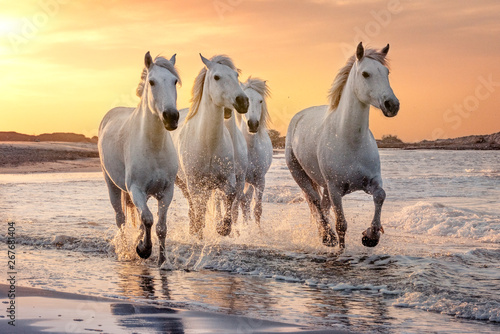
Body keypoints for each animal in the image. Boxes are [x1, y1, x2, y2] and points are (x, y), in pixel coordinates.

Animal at [98, 52, 181, 266]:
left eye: (174, 81)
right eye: (152, 82)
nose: (171, 117)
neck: (153, 147)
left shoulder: (166, 191)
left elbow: (160, 227)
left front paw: (162, 261)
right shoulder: (135, 189)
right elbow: (149, 219)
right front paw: (144, 250)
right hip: (112, 185)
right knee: (120, 219)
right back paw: (126, 251)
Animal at [173, 54, 249, 237]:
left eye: (236, 75)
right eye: (216, 77)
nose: (243, 101)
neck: (208, 144)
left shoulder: (228, 179)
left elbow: (230, 196)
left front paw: (223, 228)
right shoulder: (194, 183)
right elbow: (199, 209)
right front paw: (198, 231)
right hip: (182, 182)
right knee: (192, 204)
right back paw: (193, 228)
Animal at [286, 43, 398, 248]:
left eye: (386, 72)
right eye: (365, 74)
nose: (392, 105)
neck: (350, 141)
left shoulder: (372, 181)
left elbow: (381, 195)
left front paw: (371, 236)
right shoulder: (335, 189)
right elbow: (341, 225)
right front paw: (341, 247)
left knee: (322, 206)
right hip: (300, 175)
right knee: (315, 202)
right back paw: (327, 236)